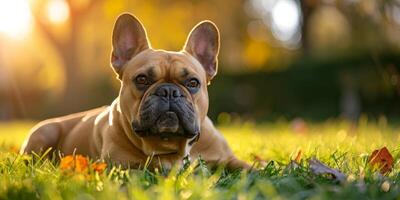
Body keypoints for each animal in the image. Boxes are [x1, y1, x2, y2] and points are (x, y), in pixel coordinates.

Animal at [21, 12, 250, 170]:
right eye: (142, 79)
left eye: (193, 83)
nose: (169, 91)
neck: (168, 144)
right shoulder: (122, 166)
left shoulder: (228, 158)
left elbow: (250, 169)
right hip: (44, 132)